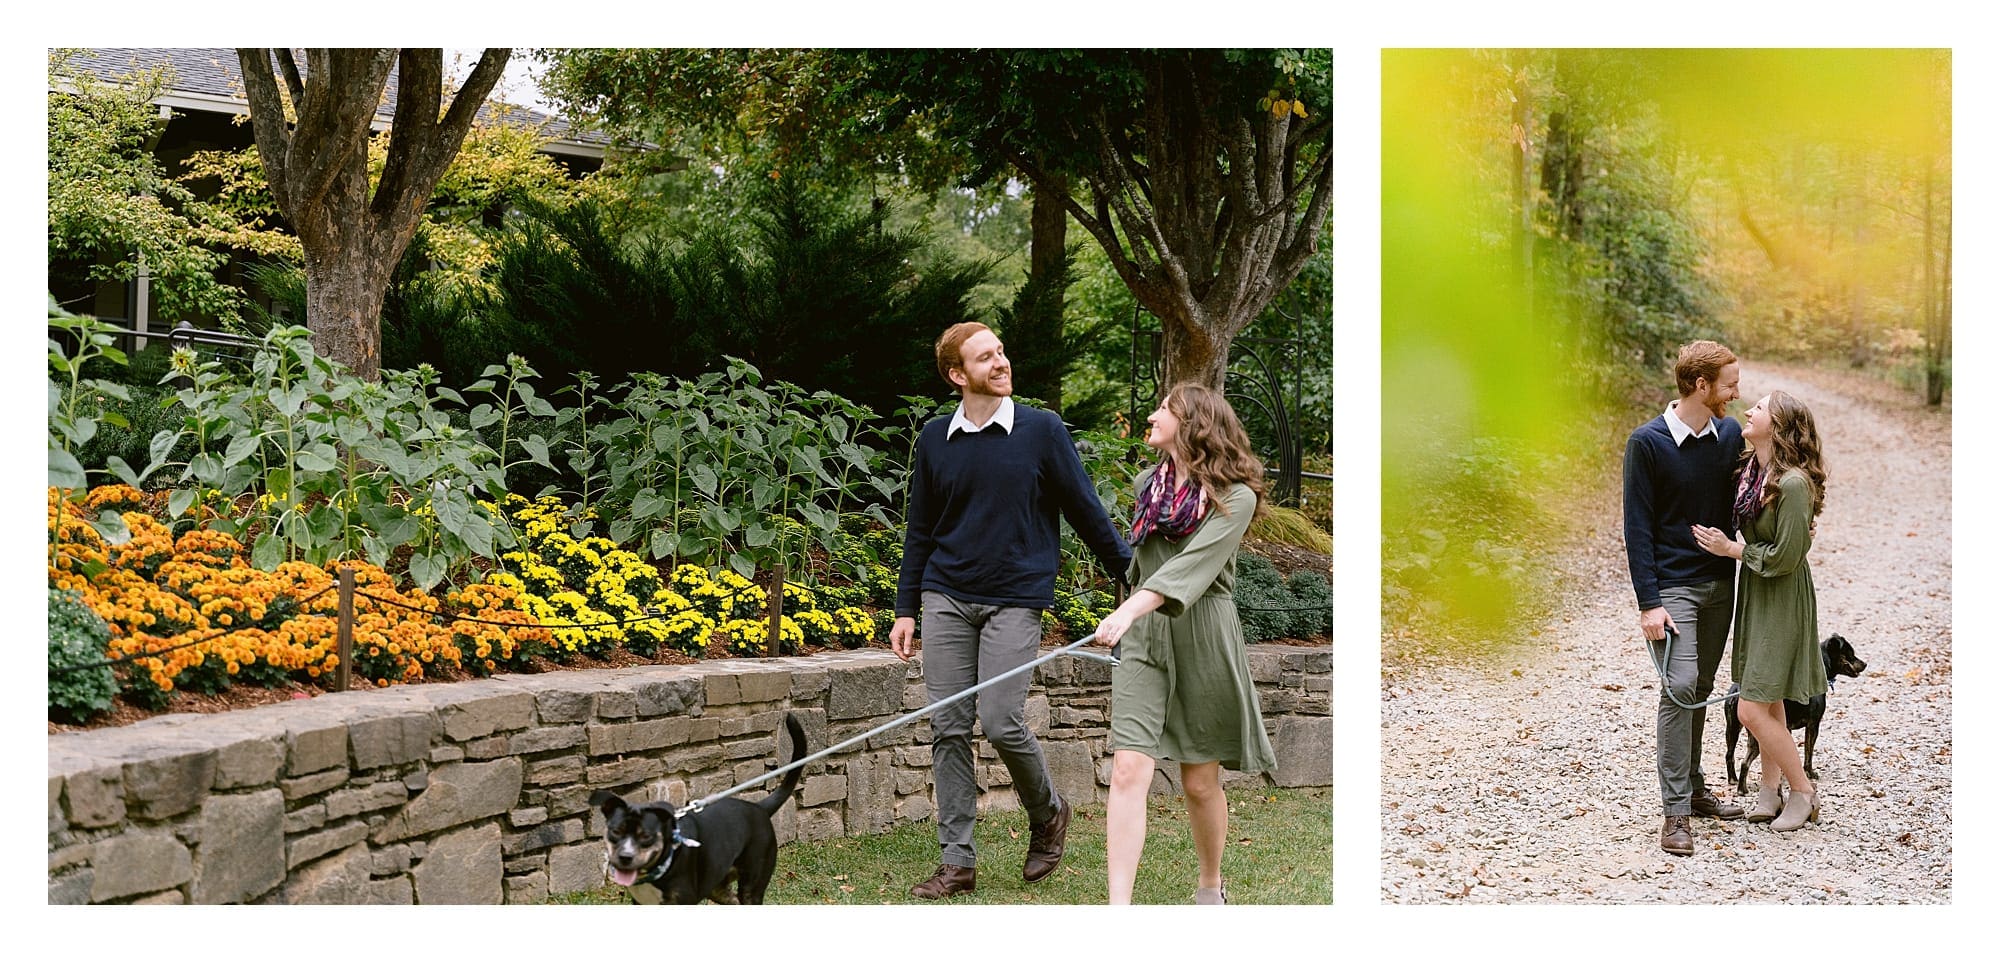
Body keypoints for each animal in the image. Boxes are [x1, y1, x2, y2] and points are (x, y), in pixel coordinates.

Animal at [588, 712, 808, 904]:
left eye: (646, 836)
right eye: (616, 831)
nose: (625, 857)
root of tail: (759, 807)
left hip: (752, 885)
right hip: (718, 888)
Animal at [1728, 632, 1864, 796]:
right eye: (1850, 653)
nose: (1865, 664)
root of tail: (1737, 693)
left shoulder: (1788, 728)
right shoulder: (1813, 725)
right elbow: (1808, 752)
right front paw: (1810, 773)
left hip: (1733, 729)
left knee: (1730, 755)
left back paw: (1734, 781)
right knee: (1744, 762)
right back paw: (1742, 789)